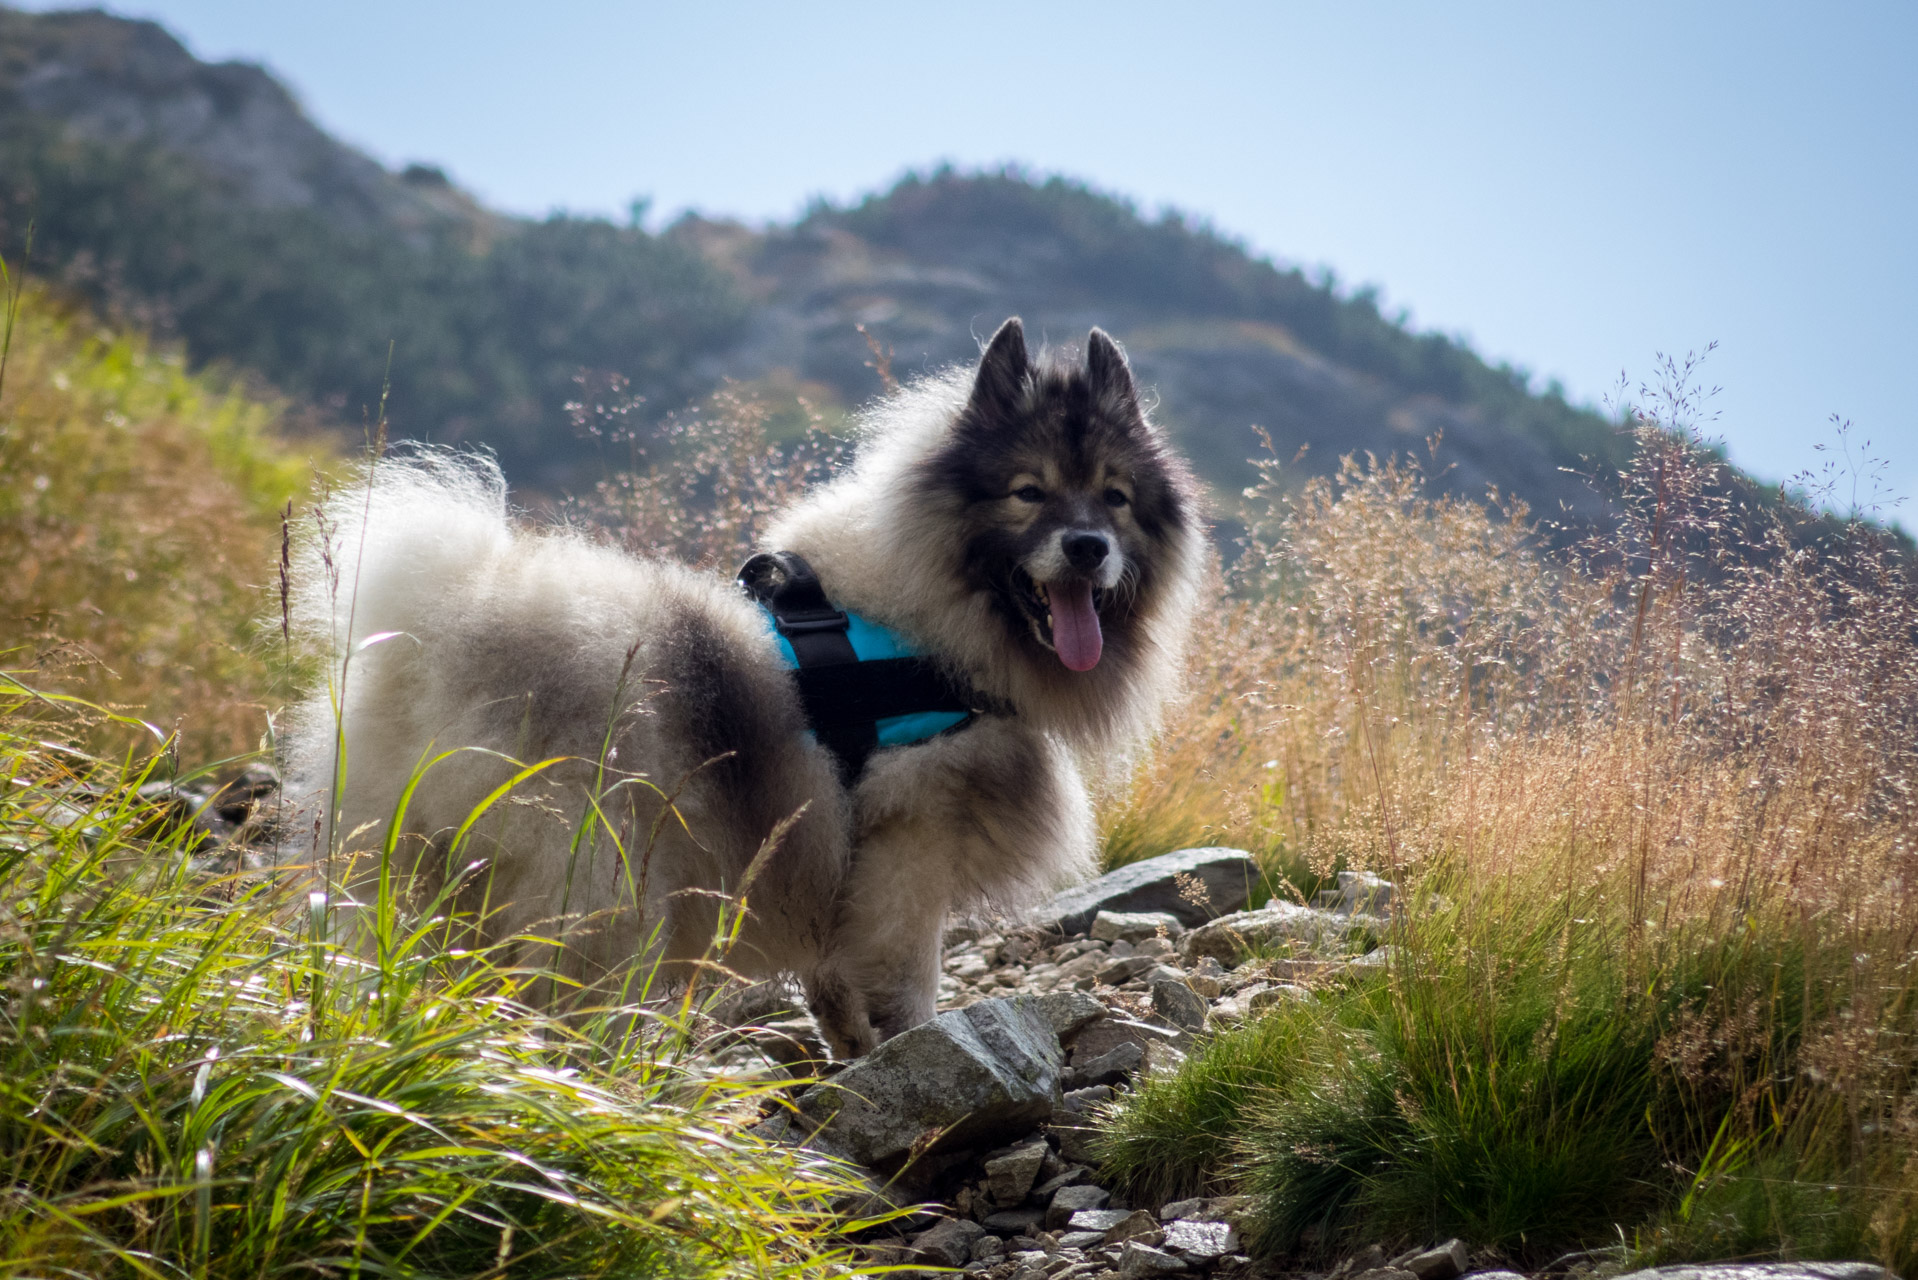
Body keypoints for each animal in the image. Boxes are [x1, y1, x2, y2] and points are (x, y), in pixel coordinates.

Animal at [278, 322, 1204, 1059]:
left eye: (1116, 498)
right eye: (1029, 492)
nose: (1087, 547)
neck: (923, 615)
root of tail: (443, 628)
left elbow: (836, 981)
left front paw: (853, 1053)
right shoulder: (909, 845)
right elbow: (906, 975)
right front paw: (918, 1046)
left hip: (419, 869)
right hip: (600, 881)